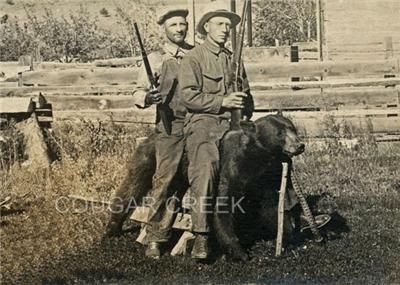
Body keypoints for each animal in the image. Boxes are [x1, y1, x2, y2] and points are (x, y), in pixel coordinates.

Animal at [104, 114, 304, 258]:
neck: (256, 158)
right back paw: (113, 228)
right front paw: (238, 252)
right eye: (279, 133)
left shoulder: (266, 176)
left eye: (293, 128)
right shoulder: (230, 167)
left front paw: (288, 237)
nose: (300, 145)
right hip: (152, 158)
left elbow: (272, 205)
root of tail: (151, 134)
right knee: (133, 186)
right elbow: (223, 204)